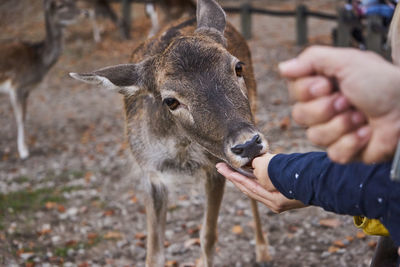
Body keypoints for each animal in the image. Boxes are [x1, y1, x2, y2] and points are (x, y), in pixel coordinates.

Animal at [0, 0, 83, 159]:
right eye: (60, 5)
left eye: (73, 1)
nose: (85, 12)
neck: (39, 61)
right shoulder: (17, 86)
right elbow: (20, 118)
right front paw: (24, 151)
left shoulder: (27, 90)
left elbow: (25, 116)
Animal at [70, 0, 274, 266]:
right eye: (171, 100)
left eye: (238, 67)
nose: (248, 144)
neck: (179, 149)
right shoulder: (150, 172)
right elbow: (153, 253)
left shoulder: (215, 167)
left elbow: (208, 236)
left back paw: (263, 249)